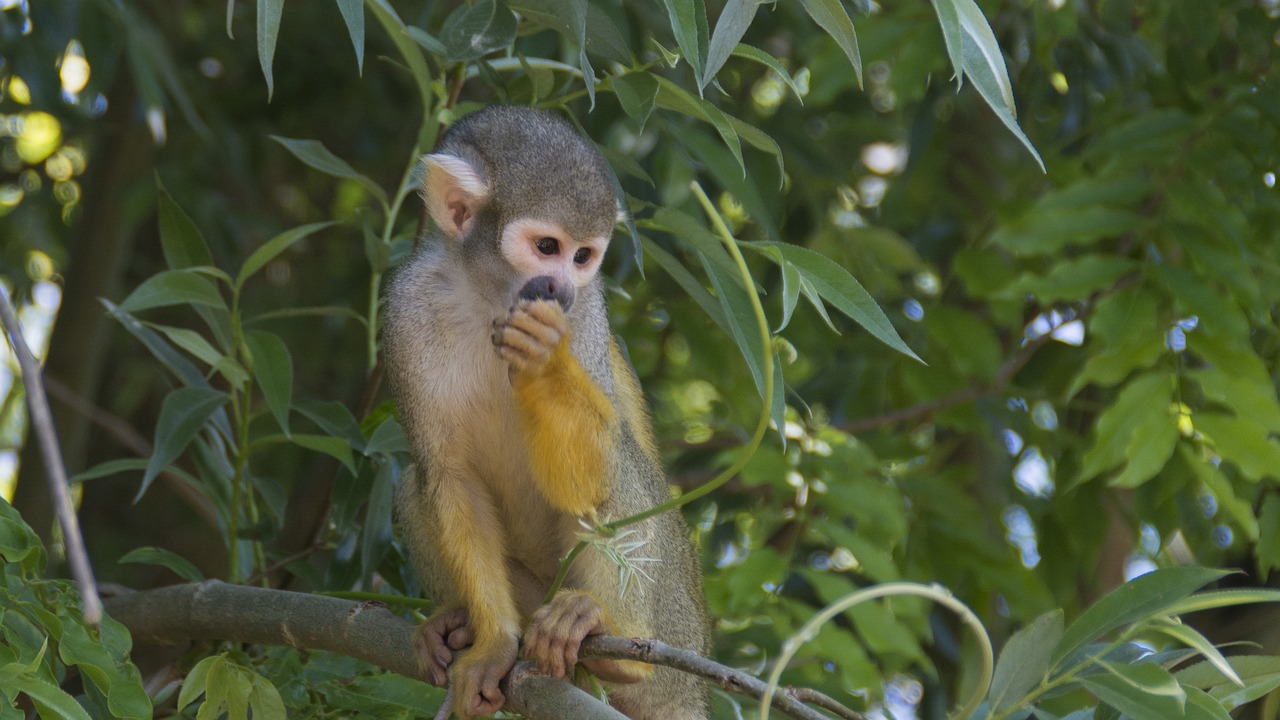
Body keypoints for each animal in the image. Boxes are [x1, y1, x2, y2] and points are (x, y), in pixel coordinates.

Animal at [389, 106, 711, 717]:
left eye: (583, 256)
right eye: (546, 246)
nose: (560, 286)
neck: (492, 298)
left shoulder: (588, 313)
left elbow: (589, 477)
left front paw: (545, 358)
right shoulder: (409, 306)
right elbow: (449, 473)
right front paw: (493, 642)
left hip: (676, 634)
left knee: (618, 465)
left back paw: (611, 642)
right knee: (416, 482)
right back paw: (455, 625)